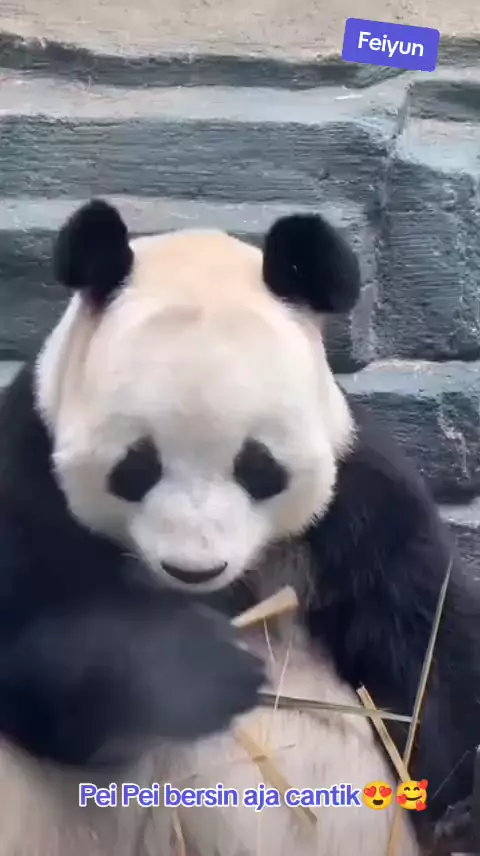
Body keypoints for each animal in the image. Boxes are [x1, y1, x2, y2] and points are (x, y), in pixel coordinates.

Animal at [0, 199, 479, 856]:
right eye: (137, 467)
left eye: (258, 468)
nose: (194, 568)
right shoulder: (27, 467)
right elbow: (29, 644)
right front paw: (196, 665)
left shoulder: (358, 493)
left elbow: (427, 641)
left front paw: (462, 815)